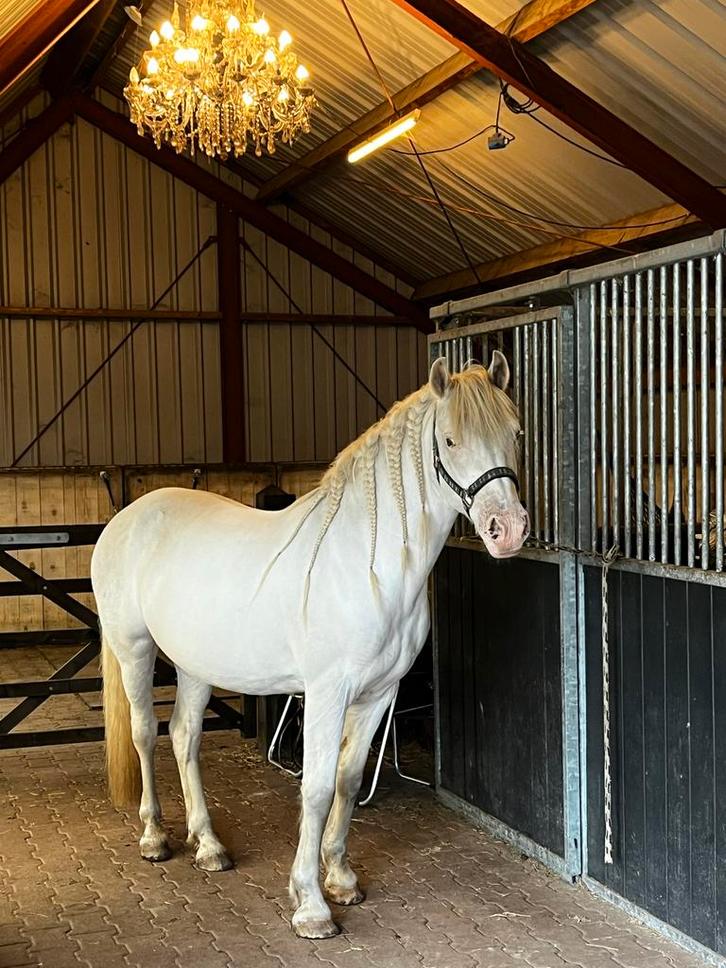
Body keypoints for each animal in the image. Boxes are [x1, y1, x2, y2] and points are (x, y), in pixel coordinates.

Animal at [92, 352, 529, 939]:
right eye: (451, 440)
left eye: (515, 434)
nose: (508, 530)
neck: (367, 565)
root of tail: (128, 516)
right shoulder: (325, 694)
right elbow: (316, 789)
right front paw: (311, 905)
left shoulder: (378, 695)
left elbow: (348, 780)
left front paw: (341, 879)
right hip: (134, 650)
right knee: (145, 733)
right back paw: (155, 837)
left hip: (195, 666)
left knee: (184, 736)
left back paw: (208, 845)